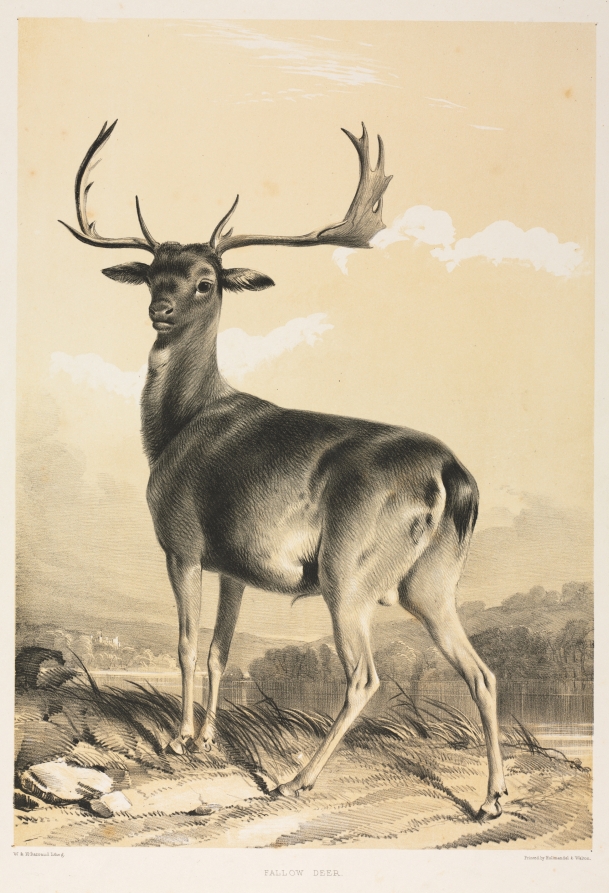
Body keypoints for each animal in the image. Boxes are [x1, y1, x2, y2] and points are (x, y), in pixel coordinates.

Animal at [60, 120, 507, 819]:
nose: (161, 310)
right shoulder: (232, 566)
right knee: (482, 673)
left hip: (348, 570)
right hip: (430, 582)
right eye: (154, 273)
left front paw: (178, 740)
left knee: (364, 675)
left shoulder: (182, 542)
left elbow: (186, 645)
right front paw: (208, 739)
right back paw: (491, 798)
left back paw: (296, 780)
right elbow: (220, 651)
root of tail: (452, 475)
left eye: (206, 280)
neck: (175, 429)